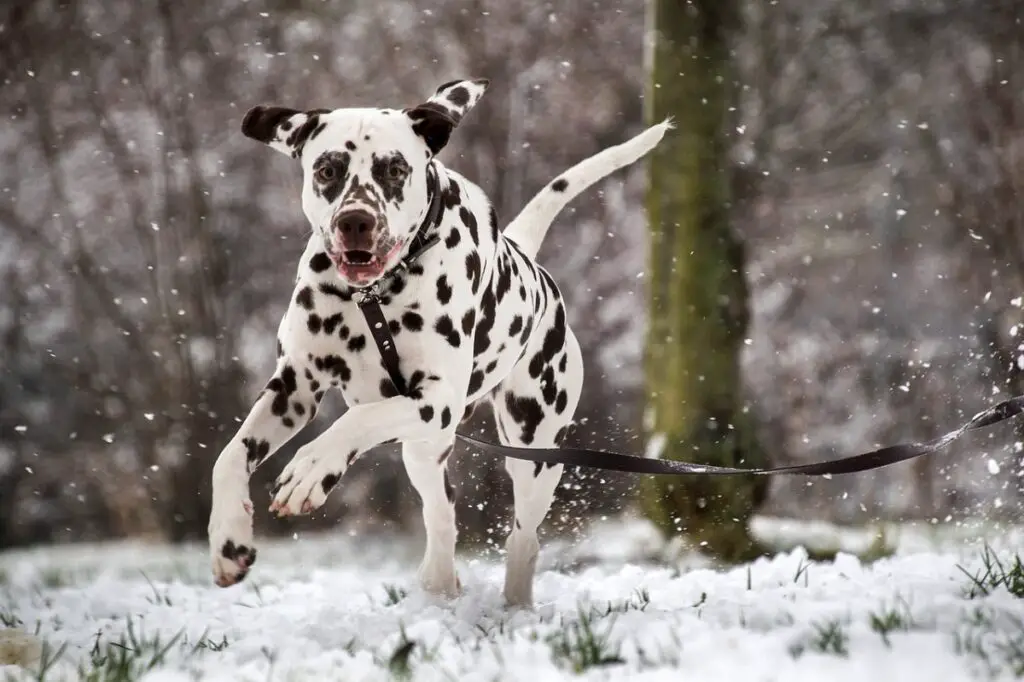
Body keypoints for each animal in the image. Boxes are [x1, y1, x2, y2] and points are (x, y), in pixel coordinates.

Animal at [207, 76, 671, 602]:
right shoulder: (294, 389)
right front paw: (228, 540)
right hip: (425, 449)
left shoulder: (436, 400)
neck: (372, 297)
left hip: (533, 451)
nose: (355, 222)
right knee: (442, 508)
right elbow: (229, 456)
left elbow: (355, 420)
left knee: (523, 537)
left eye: (395, 168)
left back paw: (514, 603)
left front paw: (311, 469)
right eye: (328, 169)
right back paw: (439, 580)